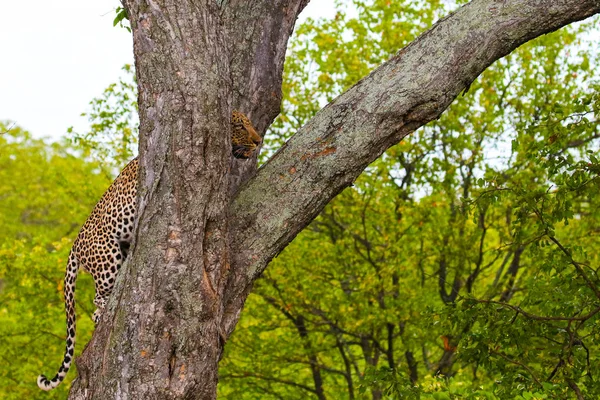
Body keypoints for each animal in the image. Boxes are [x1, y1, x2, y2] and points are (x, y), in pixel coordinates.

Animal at [36, 109, 262, 390]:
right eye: (240, 126)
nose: (258, 141)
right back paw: (102, 311)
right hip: (108, 257)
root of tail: (75, 245)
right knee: (98, 299)